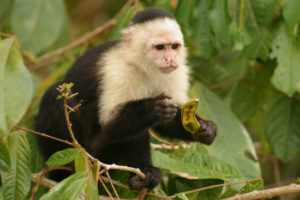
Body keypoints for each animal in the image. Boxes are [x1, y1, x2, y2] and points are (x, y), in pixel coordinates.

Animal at [35, 7, 217, 191]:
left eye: (174, 47)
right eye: (159, 47)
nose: (171, 59)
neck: (144, 66)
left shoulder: (177, 73)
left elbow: (166, 121)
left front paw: (205, 129)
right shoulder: (118, 71)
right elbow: (111, 127)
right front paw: (153, 109)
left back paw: (142, 175)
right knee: (55, 96)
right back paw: (75, 159)